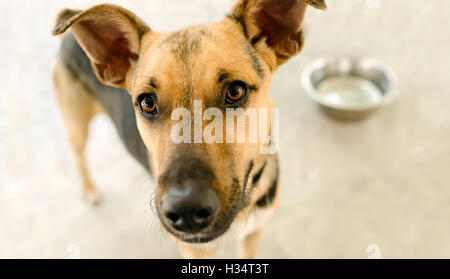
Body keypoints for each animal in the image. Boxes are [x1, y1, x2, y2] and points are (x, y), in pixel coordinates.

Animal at [51, 0, 326, 260]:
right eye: (147, 103)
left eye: (235, 91)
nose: (186, 211)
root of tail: (68, 39)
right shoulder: (195, 251)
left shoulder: (254, 232)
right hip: (76, 126)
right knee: (79, 156)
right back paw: (89, 190)